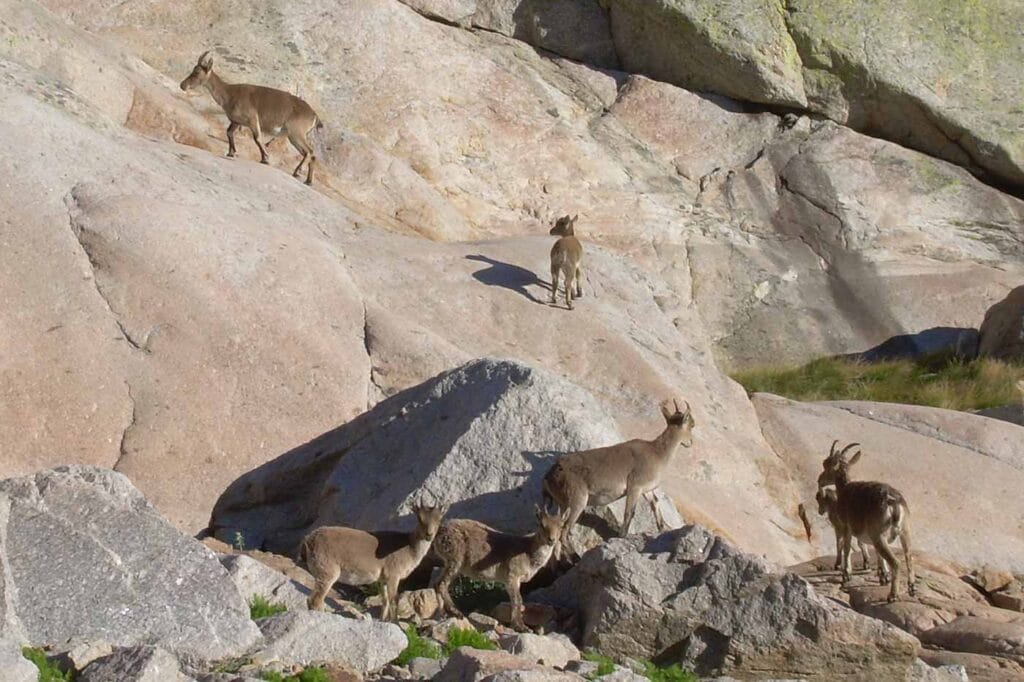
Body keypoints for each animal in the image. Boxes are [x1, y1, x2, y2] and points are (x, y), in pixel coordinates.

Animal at [180, 51, 322, 185]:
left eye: (197, 72)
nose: (182, 85)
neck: (229, 94)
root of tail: (314, 115)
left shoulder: (252, 119)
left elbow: (257, 138)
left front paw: (265, 158)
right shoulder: (236, 121)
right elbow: (229, 132)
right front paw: (231, 152)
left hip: (296, 132)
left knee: (310, 152)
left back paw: (298, 171)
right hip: (293, 136)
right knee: (311, 155)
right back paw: (307, 180)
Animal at [298, 503, 446, 620]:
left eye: (439, 519)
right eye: (420, 519)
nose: (429, 535)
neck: (408, 547)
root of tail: (308, 539)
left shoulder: (383, 579)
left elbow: (385, 601)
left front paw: (383, 620)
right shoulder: (393, 575)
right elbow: (394, 600)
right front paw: (395, 623)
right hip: (327, 572)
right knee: (314, 600)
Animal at [433, 506, 566, 631]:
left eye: (561, 525)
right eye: (542, 524)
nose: (551, 540)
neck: (528, 551)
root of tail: (439, 531)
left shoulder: (516, 580)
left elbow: (517, 601)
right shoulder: (512, 576)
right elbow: (517, 600)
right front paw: (521, 627)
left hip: (452, 564)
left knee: (437, 583)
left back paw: (442, 613)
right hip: (455, 558)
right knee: (442, 583)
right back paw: (457, 612)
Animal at [543, 399, 694, 561]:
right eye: (692, 424)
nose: (690, 442)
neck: (658, 453)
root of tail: (550, 475)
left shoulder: (646, 490)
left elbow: (655, 504)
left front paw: (662, 529)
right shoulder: (635, 486)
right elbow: (629, 513)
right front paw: (622, 536)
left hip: (562, 504)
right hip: (577, 501)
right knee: (564, 532)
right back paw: (575, 556)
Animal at [817, 441, 915, 602]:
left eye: (826, 464)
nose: (819, 480)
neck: (844, 489)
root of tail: (894, 503)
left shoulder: (847, 526)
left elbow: (846, 548)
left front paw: (846, 574)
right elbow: (878, 556)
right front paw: (883, 577)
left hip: (879, 535)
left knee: (896, 562)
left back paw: (892, 595)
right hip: (904, 532)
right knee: (908, 556)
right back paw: (912, 589)